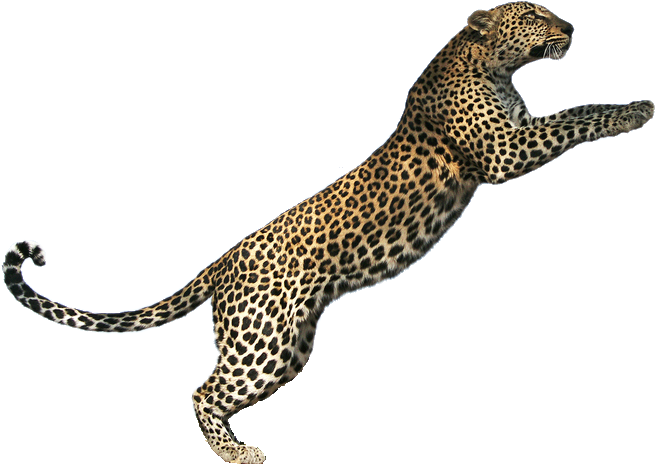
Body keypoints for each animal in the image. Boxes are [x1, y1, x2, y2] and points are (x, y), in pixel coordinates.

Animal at [4, 2, 652, 462]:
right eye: (535, 14)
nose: (571, 25)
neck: (491, 65)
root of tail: (221, 261)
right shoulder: (505, 151)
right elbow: (576, 115)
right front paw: (637, 110)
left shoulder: (516, 135)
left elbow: (571, 113)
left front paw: (633, 107)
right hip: (261, 340)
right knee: (202, 392)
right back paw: (238, 455)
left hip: (291, 345)